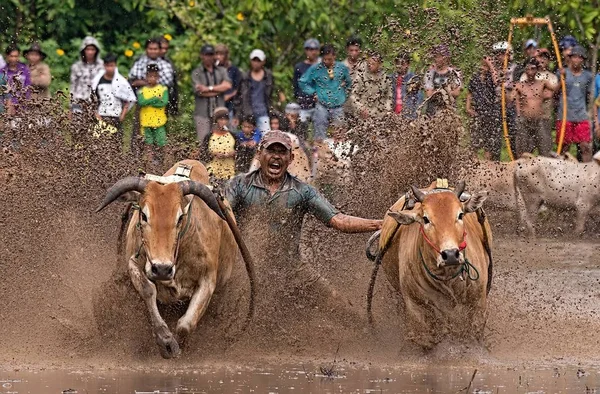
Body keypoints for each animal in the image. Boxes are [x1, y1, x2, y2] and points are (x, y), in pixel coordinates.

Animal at [96, 159, 251, 358]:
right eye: (144, 215)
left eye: (180, 217)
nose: (162, 269)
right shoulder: (133, 263)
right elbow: (148, 290)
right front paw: (166, 341)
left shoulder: (208, 280)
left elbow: (185, 325)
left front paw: (180, 344)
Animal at [370, 180, 492, 350]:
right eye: (426, 219)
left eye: (460, 215)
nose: (450, 254)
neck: (448, 280)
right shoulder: (416, 308)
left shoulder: (478, 303)